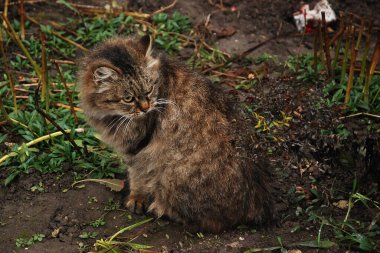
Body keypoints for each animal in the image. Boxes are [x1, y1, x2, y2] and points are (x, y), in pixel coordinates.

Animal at [78, 34, 276, 232]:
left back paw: (159, 207)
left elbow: (138, 177)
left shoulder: (137, 148)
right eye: (128, 98)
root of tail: (258, 202)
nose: (146, 107)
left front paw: (136, 199)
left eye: (149, 90)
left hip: (174, 174)